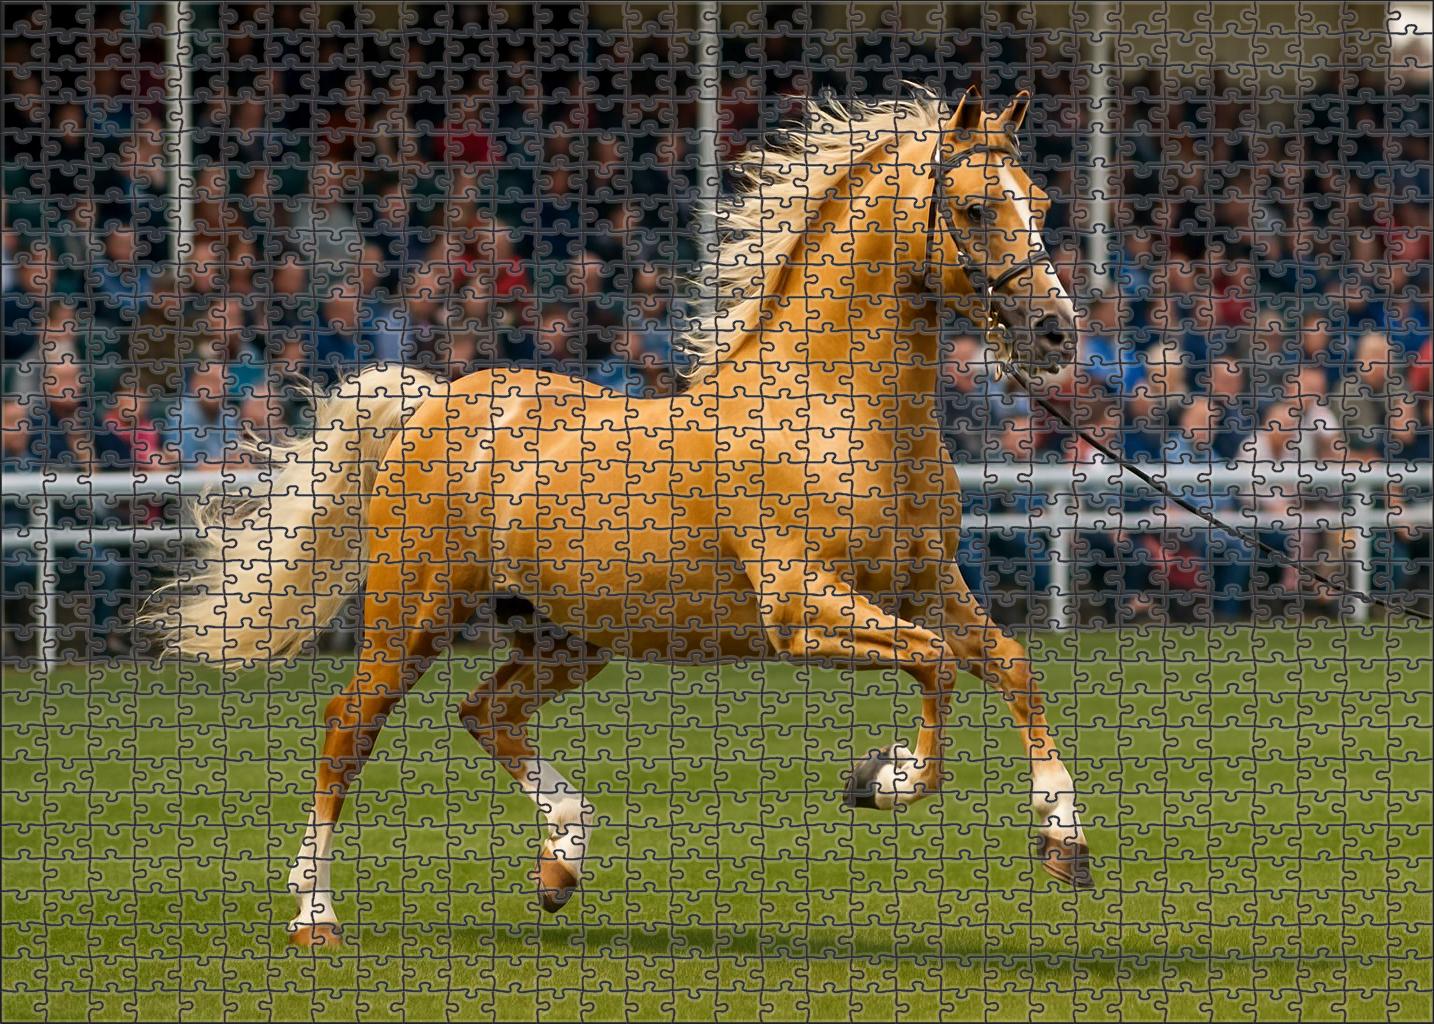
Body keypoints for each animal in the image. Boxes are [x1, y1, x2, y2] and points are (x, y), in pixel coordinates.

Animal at [155, 85, 1089, 947]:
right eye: (974, 207)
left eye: (1041, 202)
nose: (1055, 334)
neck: (835, 410)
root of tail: (435, 402)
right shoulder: (801, 610)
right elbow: (937, 666)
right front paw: (881, 778)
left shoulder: (928, 585)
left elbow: (1009, 666)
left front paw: (1063, 842)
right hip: (410, 617)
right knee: (349, 726)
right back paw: (315, 915)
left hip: (569, 635)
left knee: (487, 713)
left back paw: (561, 862)